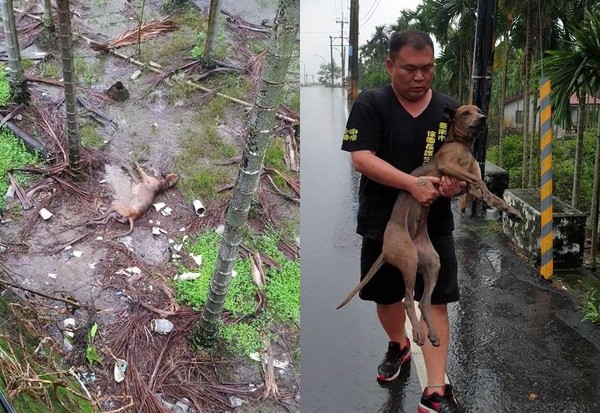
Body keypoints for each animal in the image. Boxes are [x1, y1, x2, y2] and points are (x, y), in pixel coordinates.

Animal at [336, 102, 524, 344]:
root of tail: (386, 250)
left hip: (433, 263)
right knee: (408, 300)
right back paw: (417, 333)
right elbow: (479, 180)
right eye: (466, 113)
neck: (462, 145)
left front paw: (511, 211)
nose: (483, 118)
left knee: (424, 302)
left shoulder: (466, 184)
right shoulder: (448, 166)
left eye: (480, 110)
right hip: (408, 259)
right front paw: (491, 195)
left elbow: (492, 195)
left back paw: (433, 334)